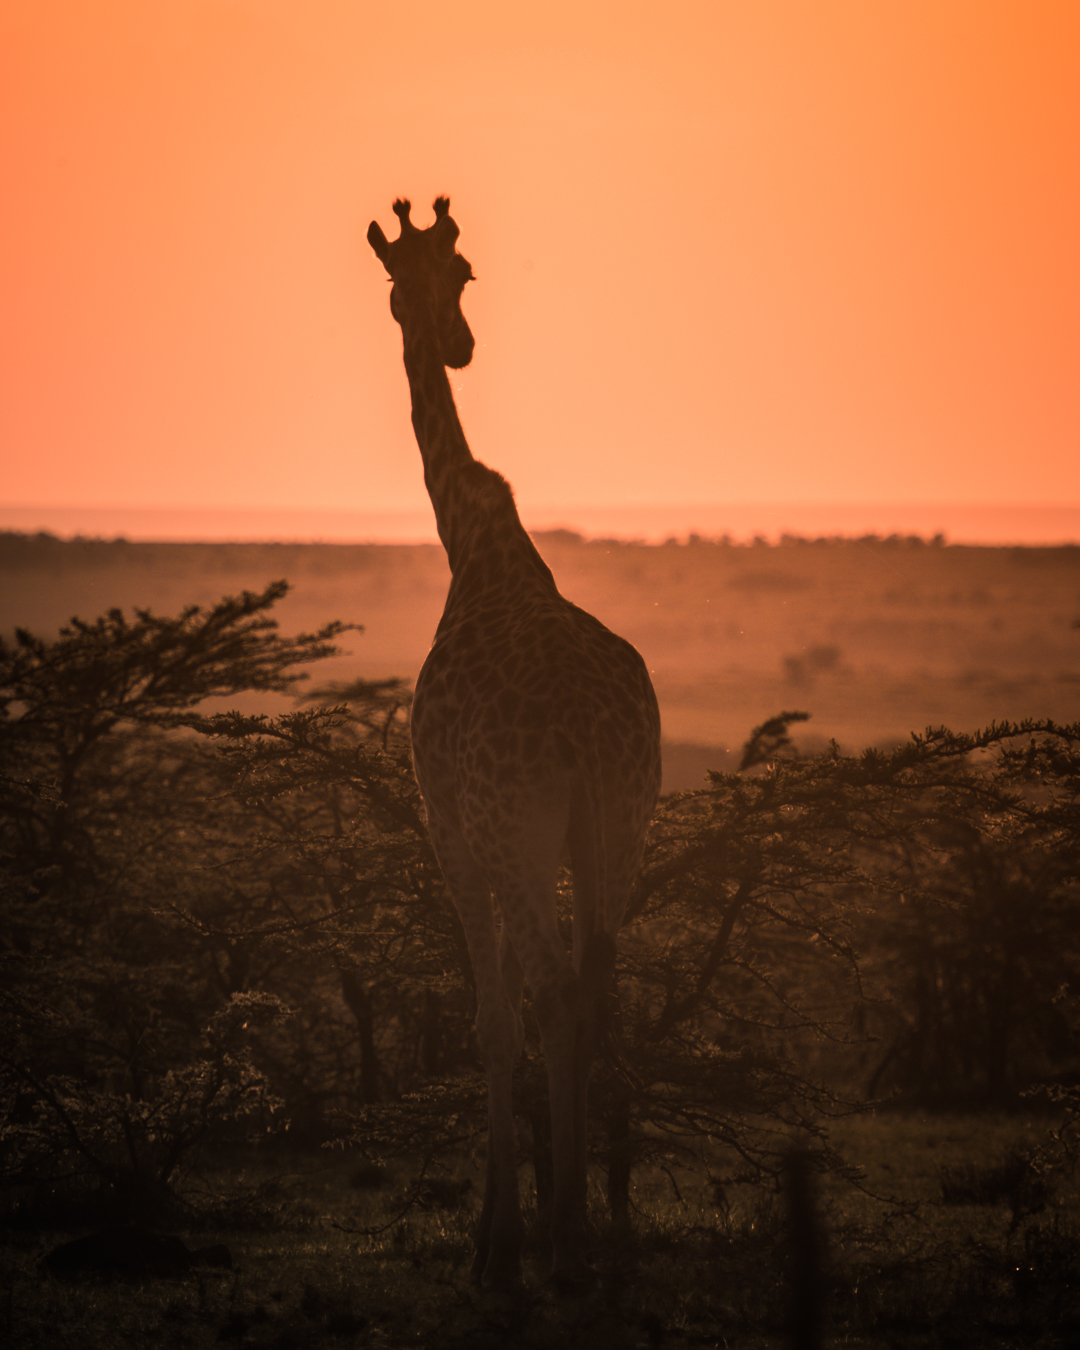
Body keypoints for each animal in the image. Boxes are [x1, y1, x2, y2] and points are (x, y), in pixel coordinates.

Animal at [367, 197, 661, 1291]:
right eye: (445, 276)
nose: (455, 342)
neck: (473, 544)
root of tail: (583, 731)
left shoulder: (449, 823)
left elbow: (492, 1024)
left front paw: (495, 1237)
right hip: (620, 823)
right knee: (597, 987)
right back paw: (599, 1232)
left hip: (523, 830)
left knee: (551, 993)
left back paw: (561, 1238)